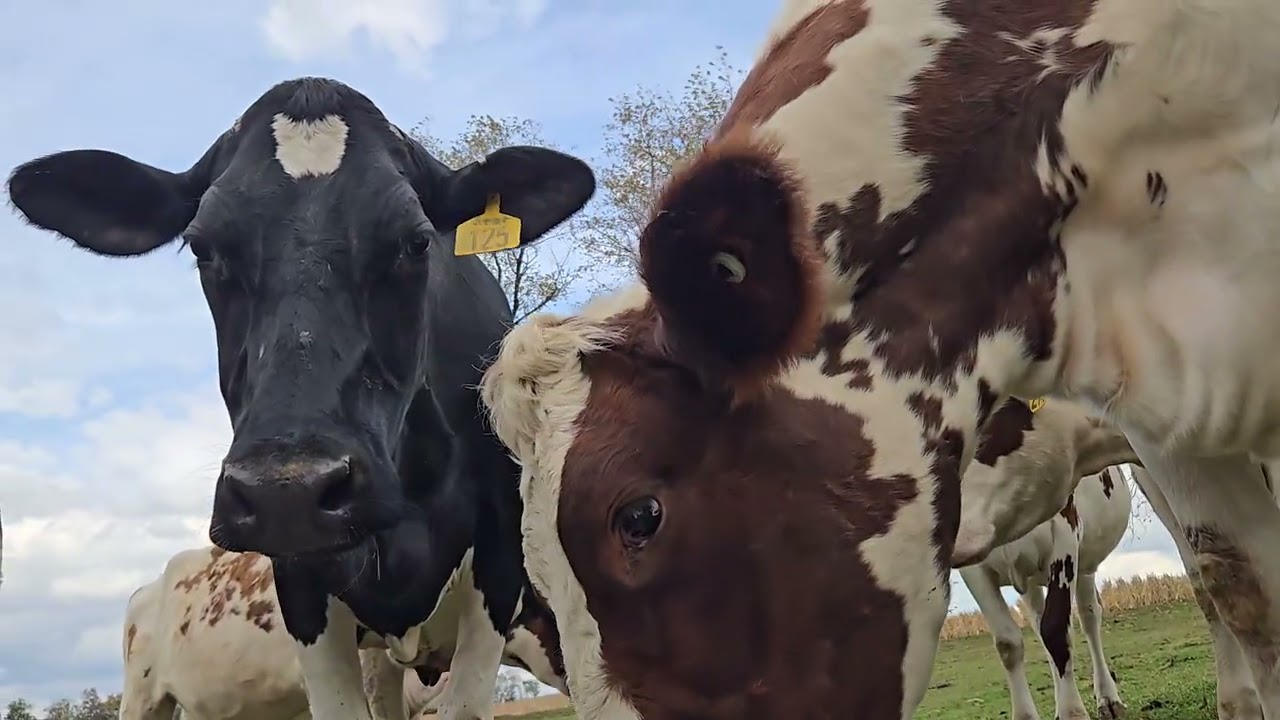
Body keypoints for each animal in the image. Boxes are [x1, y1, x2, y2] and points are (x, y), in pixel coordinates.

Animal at [960, 467, 1133, 720]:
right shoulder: (971, 566)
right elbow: (1007, 643)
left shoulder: (1065, 534)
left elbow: (1056, 630)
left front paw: (1072, 712)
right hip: (1032, 580)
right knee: (1039, 621)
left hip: (1085, 562)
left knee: (1089, 617)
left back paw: (1108, 698)